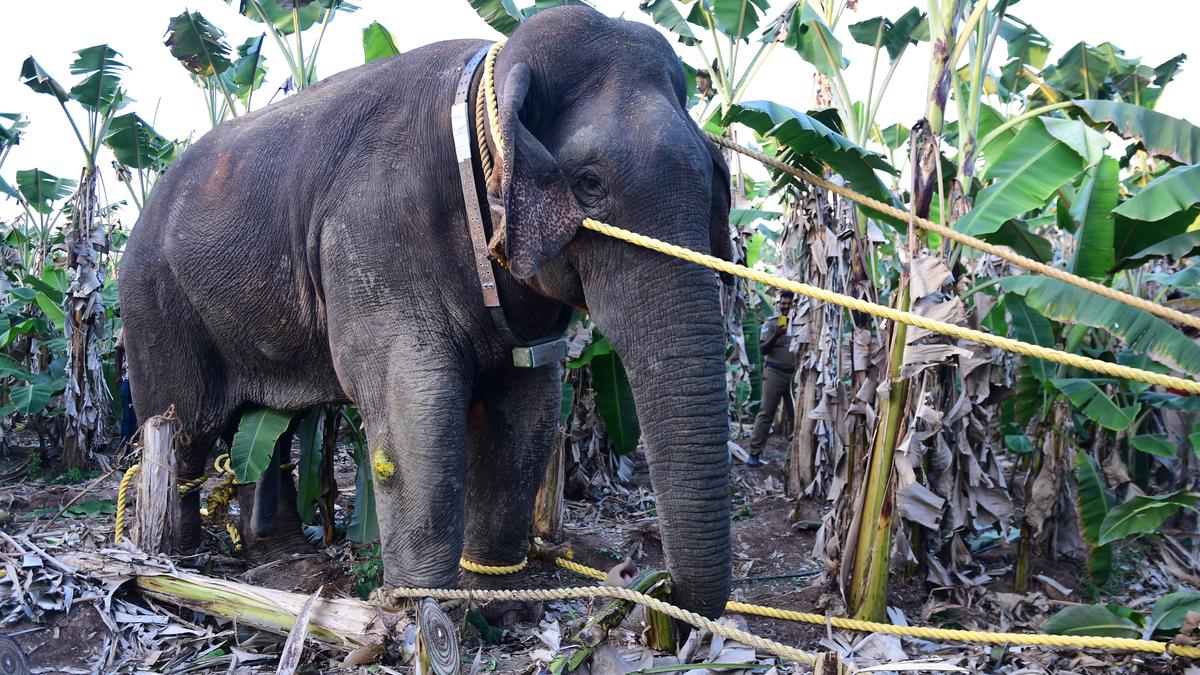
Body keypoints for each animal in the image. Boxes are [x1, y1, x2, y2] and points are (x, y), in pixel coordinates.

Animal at [124, 5, 739, 614]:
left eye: (713, 177)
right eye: (589, 185)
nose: (641, 579)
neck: (487, 77)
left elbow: (529, 410)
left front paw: (497, 605)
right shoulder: (374, 237)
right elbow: (415, 413)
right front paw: (421, 611)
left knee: (265, 425)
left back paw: (283, 561)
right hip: (153, 303)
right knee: (186, 430)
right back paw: (176, 562)